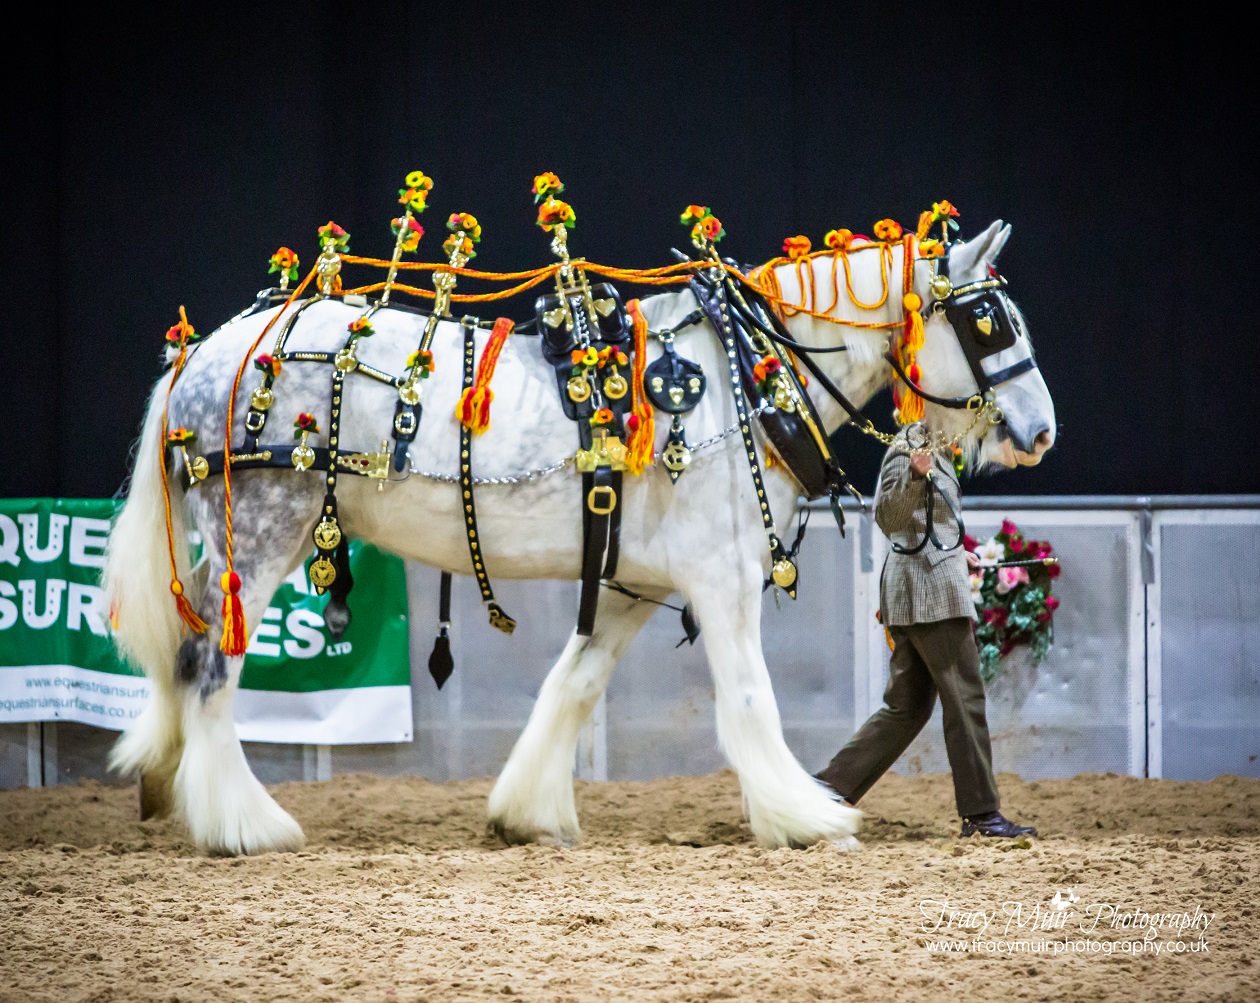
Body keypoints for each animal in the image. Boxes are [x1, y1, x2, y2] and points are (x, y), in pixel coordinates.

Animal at [104, 219, 1055, 855]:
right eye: (992, 324)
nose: (1042, 431)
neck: (748, 379)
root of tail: (207, 357)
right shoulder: (723, 577)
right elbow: (751, 701)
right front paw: (805, 813)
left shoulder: (633, 584)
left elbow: (573, 685)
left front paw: (525, 811)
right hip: (262, 536)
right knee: (208, 667)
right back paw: (242, 823)